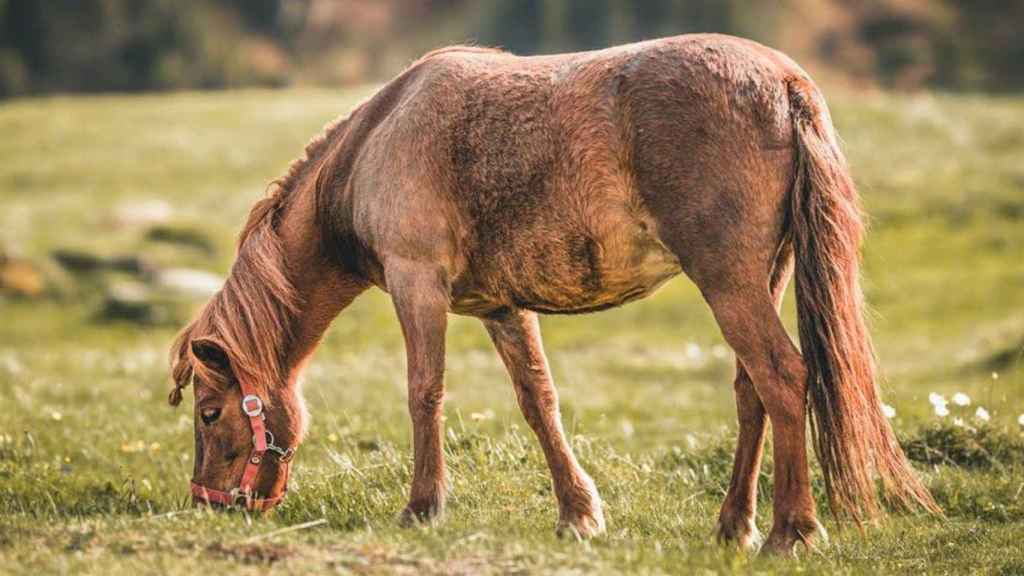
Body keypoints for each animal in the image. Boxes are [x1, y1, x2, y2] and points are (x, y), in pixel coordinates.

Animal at [165, 33, 937, 553]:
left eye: (209, 413)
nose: (212, 504)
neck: (377, 143)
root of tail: (783, 82)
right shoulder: (502, 308)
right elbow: (539, 403)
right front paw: (578, 513)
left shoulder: (418, 285)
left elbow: (424, 393)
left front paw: (423, 508)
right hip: (760, 279)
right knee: (753, 392)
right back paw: (734, 525)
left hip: (730, 282)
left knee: (782, 377)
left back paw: (792, 530)